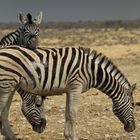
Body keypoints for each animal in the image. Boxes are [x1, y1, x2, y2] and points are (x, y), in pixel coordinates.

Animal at [0, 46, 136, 140]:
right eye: (133, 106)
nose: (133, 128)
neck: (92, 71)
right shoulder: (76, 86)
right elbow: (72, 113)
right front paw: (73, 137)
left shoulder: (69, 89)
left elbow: (67, 113)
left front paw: (67, 136)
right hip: (6, 85)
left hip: (11, 86)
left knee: (5, 113)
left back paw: (12, 137)